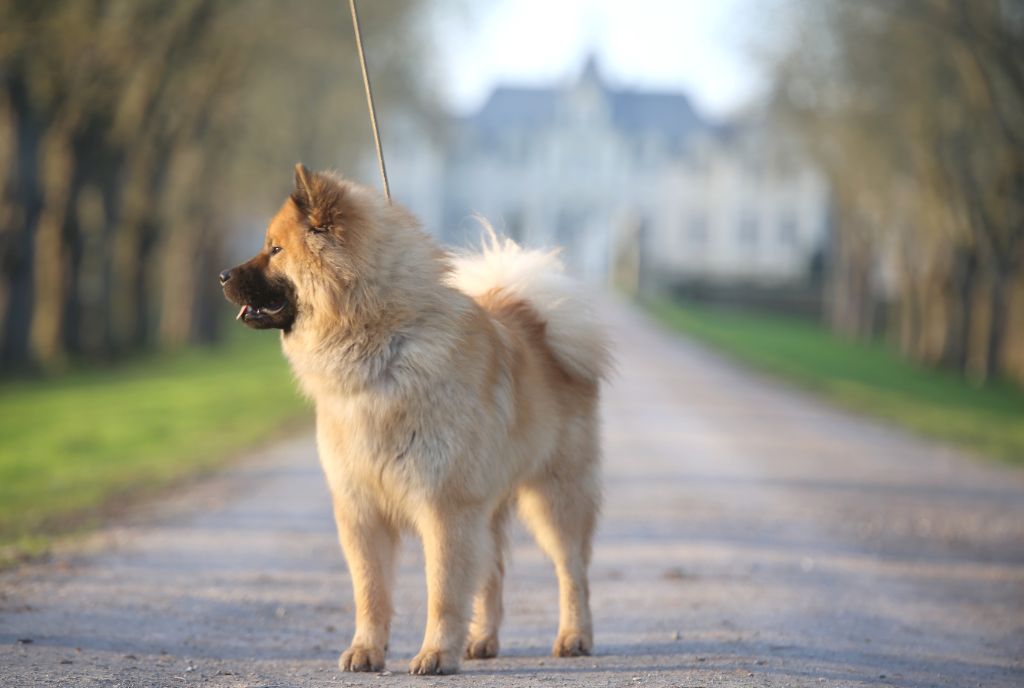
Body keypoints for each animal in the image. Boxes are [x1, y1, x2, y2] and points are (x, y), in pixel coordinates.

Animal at [219, 163, 606, 675]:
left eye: (275, 249)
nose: (221, 275)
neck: (381, 343)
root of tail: (542, 325)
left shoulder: (444, 506)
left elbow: (443, 590)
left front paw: (435, 653)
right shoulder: (361, 508)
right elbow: (370, 591)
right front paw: (366, 650)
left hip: (554, 497)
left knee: (572, 571)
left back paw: (574, 636)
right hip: (490, 505)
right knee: (494, 573)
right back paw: (482, 640)